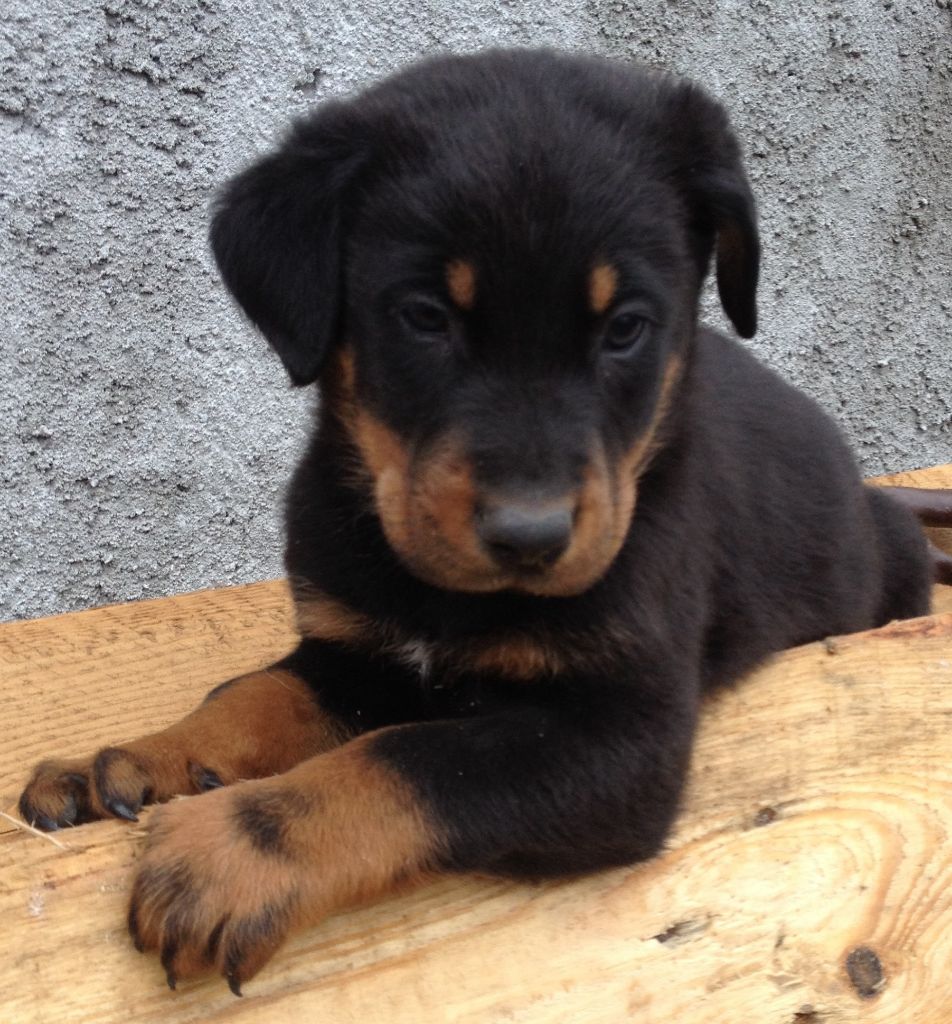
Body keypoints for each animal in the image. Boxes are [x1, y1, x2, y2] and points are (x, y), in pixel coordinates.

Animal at [19, 48, 952, 994]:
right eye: (426, 317)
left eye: (625, 328)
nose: (529, 537)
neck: (442, 596)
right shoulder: (353, 647)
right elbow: (254, 692)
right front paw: (136, 759)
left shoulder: (620, 736)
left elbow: (407, 760)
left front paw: (231, 852)